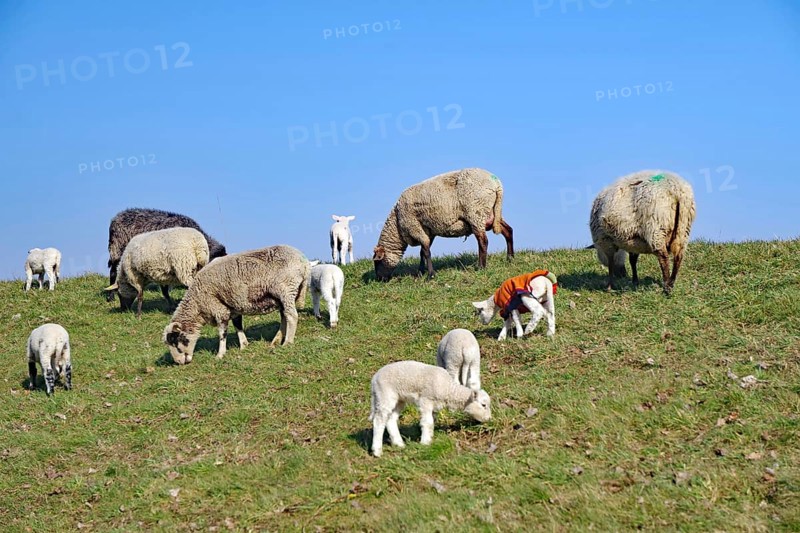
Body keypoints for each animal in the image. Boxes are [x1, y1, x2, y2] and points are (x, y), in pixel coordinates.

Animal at [163, 245, 311, 364]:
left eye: (176, 341)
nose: (179, 362)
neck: (197, 304)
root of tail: (303, 262)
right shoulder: (233, 308)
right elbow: (238, 326)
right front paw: (244, 345)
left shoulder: (219, 309)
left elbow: (222, 333)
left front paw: (220, 354)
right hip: (282, 297)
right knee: (284, 317)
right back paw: (276, 341)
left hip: (286, 290)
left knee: (292, 316)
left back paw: (287, 342)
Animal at [372, 168, 514, 281]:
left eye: (377, 262)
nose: (379, 279)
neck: (396, 223)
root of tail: (496, 183)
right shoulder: (428, 230)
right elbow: (423, 251)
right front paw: (421, 272)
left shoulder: (414, 227)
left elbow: (426, 252)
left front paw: (430, 275)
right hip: (492, 213)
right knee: (508, 231)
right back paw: (510, 258)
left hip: (476, 212)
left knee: (483, 241)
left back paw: (481, 267)